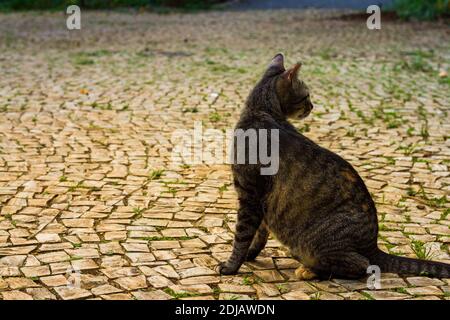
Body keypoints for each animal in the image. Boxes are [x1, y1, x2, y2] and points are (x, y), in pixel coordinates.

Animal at [220, 53, 450, 278]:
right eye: (306, 96)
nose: (312, 106)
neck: (260, 112)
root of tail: (373, 246)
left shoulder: (249, 195)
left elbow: (242, 236)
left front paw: (231, 266)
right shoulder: (259, 201)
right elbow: (259, 234)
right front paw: (250, 255)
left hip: (317, 242)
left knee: (361, 265)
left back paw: (309, 270)